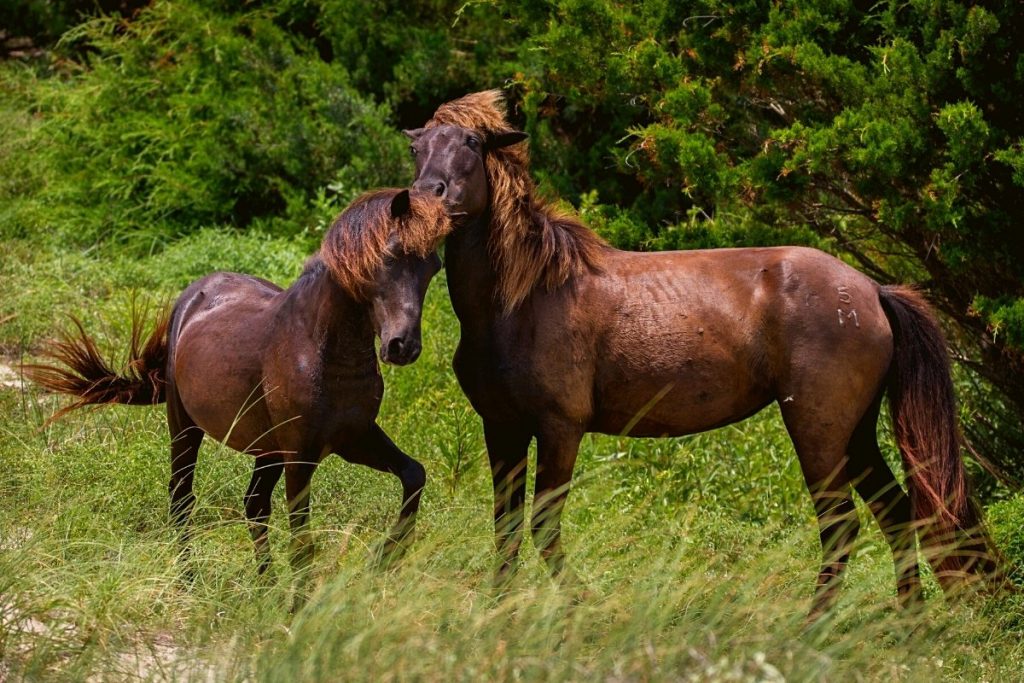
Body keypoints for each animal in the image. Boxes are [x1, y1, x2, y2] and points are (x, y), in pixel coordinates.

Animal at [23, 188, 448, 589]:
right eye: (391, 256)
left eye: (433, 267)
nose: (403, 346)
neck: (318, 347)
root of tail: (193, 296)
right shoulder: (301, 455)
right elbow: (302, 541)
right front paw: (302, 606)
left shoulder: (354, 438)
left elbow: (414, 475)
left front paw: (384, 558)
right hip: (185, 427)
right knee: (182, 498)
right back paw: (190, 581)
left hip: (267, 449)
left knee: (254, 504)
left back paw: (265, 587)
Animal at [405, 90, 999, 618]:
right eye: (419, 146)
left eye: (472, 142)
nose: (428, 196)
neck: (524, 298)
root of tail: (874, 291)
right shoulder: (502, 428)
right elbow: (505, 527)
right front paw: (496, 611)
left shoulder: (559, 428)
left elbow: (542, 527)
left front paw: (582, 606)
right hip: (855, 434)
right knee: (896, 516)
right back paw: (907, 624)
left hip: (820, 431)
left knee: (842, 524)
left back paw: (815, 626)